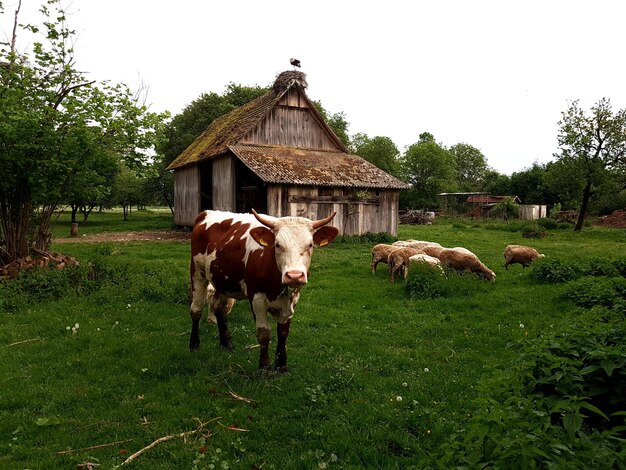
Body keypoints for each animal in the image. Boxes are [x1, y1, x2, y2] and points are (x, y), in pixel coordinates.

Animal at [189, 209, 338, 370]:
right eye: (277, 245)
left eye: (310, 245)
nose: (294, 276)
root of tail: (206, 212)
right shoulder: (257, 300)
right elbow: (264, 334)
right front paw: (264, 367)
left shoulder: (293, 299)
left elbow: (283, 332)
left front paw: (281, 366)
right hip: (197, 273)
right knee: (196, 310)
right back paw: (194, 345)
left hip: (222, 281)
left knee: (220, 309)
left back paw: (226, 344)